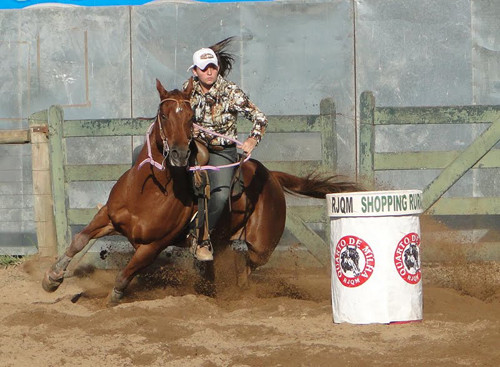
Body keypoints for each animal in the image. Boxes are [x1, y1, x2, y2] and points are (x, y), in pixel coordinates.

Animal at [41, 80, 358, 304]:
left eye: (190, 116)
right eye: (163, 114)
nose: (180, 154)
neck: (150, 191)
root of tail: (270, 176)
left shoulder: (154, 245)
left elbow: (126, 272)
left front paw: (113, 297)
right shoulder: (108, 216)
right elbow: (79, 240)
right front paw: (52, 278)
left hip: (262, 246)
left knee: (247, 266)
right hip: (223, 240)